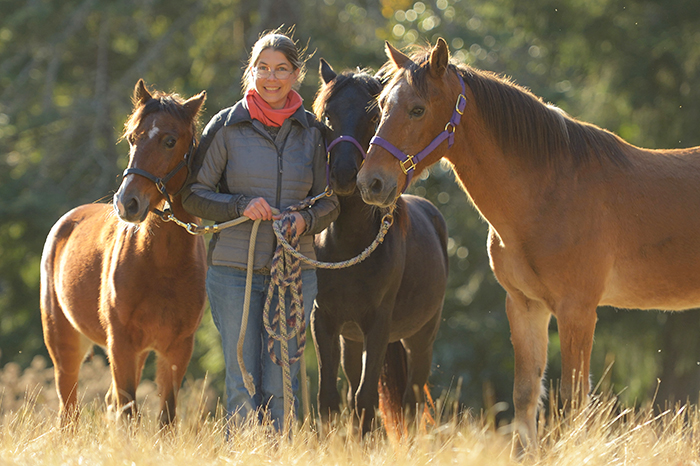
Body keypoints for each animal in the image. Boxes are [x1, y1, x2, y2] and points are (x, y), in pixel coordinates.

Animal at [40, 79, 207, 426]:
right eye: (132, 137)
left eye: (170, 141)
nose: (127, 203)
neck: (163, 264)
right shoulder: (121, 344)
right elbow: (128, 409)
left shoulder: (176, 348)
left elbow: (166, 416)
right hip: (64, 343)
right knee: (69, 409)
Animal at [311, 59, 449, 434]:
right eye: (327, 115)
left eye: (373, 116)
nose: (344, 174)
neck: (348, 246)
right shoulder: (325, 321)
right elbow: (330, 399)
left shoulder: (378, 325)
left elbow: (366, 399)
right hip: (352, 339)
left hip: (421, 336)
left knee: (412, 399)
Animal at [356, 38, 700, 452]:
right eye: (382, 105)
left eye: (417, 108)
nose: (371, 183)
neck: (550, 192)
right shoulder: (525, 306)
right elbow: (525, 396)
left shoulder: (577, 311)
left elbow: (573, 400)